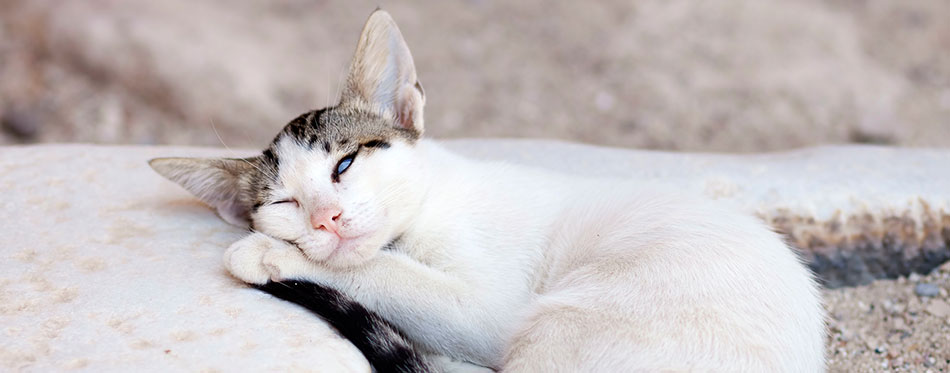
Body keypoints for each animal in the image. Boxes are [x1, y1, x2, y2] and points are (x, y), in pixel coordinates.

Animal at [149, 8, 824, 372]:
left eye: (344, 165)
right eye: (285, 203)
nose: (327, 220)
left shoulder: (489, 308)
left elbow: (383, 274)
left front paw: (268, 254)